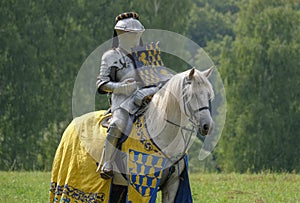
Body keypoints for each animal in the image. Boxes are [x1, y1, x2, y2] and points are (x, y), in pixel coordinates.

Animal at [48, 67, 213, 202]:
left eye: (208, 95)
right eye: (192, 95)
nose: (207, 126)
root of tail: (71, 124)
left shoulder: (173, 184)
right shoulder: (143, 185)